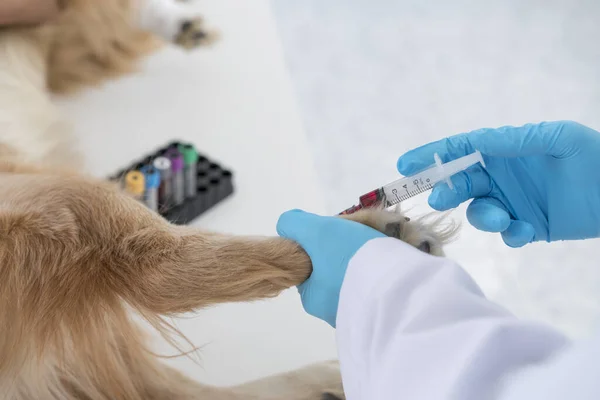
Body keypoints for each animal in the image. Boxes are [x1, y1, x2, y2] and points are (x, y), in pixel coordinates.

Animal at [0, 1, 454, 398]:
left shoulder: (57, 42)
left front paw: (179, 24)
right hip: (67, 199)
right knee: (164, 270)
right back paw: (380, 234)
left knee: (182, 390)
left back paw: (325, 380)